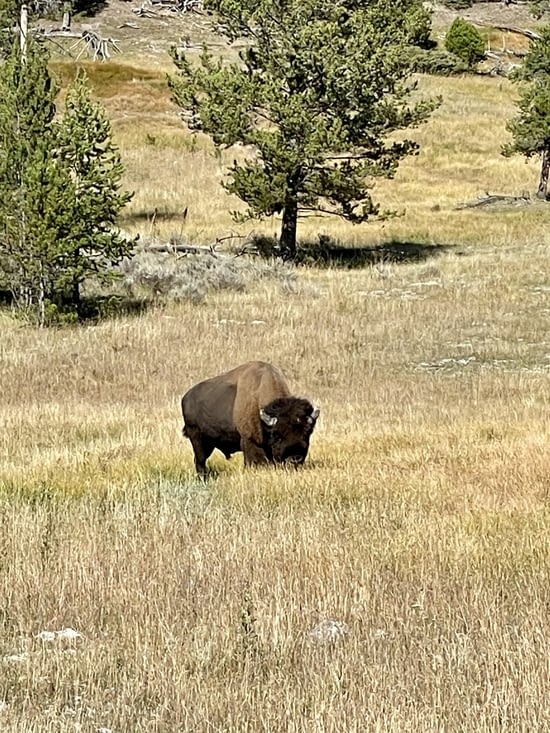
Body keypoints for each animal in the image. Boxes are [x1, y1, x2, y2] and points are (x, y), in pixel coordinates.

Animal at [182, 360, 320, 474]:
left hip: (209, 442)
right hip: (197, 438)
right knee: (200, 460)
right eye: (277, 435)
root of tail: (186, 397)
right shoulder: (250, 441)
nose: (294, 458)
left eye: (307, 433)